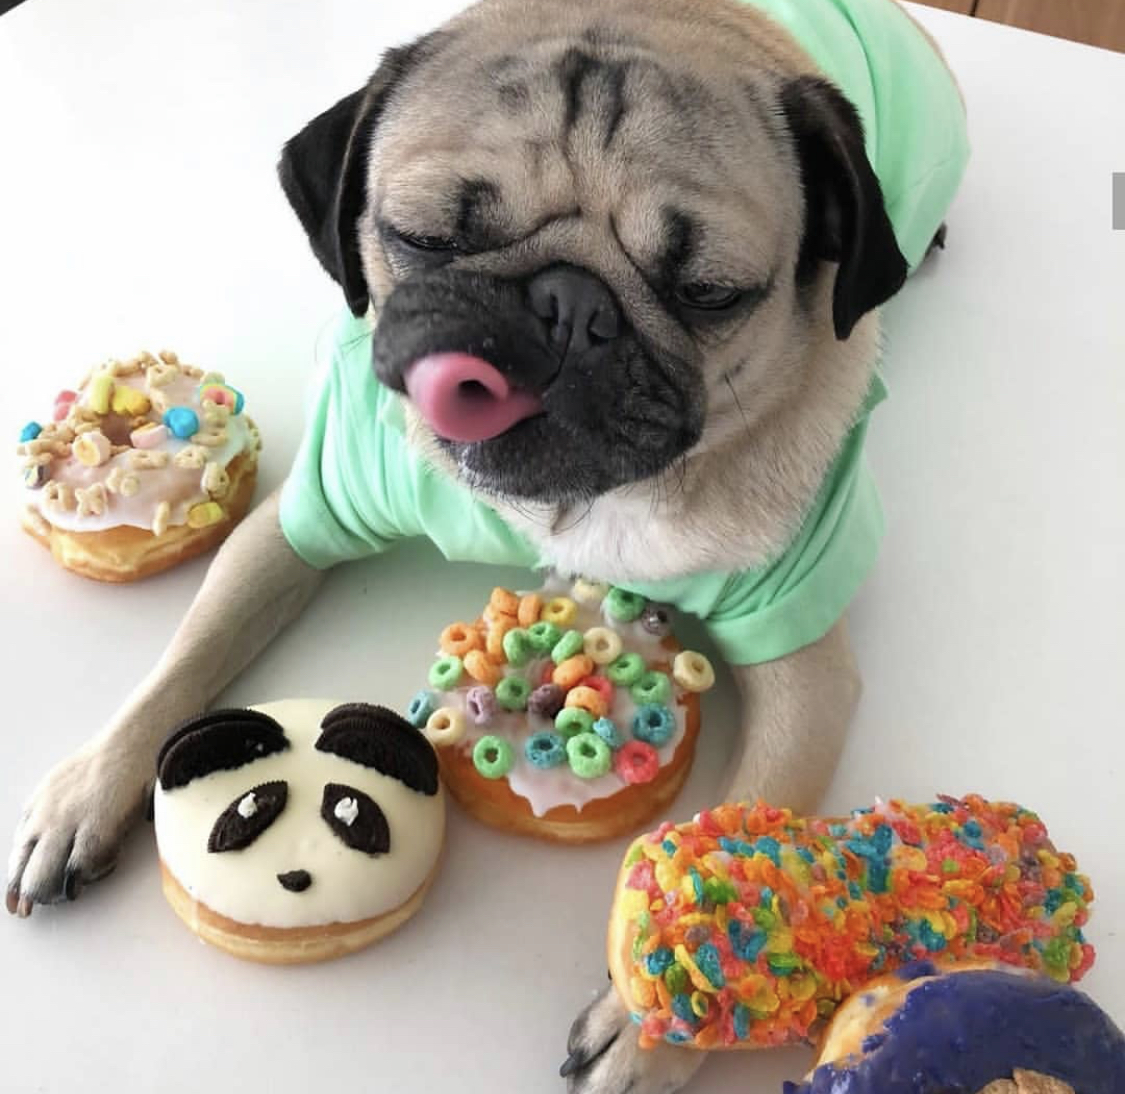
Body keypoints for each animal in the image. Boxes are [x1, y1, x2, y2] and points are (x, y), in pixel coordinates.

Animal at [4, 0, 963, 1089]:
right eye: (425, 237)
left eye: (710, 293)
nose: (570, 302)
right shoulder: (294, 524)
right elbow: (182, 662)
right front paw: (89, 787)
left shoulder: (804, 665)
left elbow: (732, 846)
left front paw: (654, 1025)